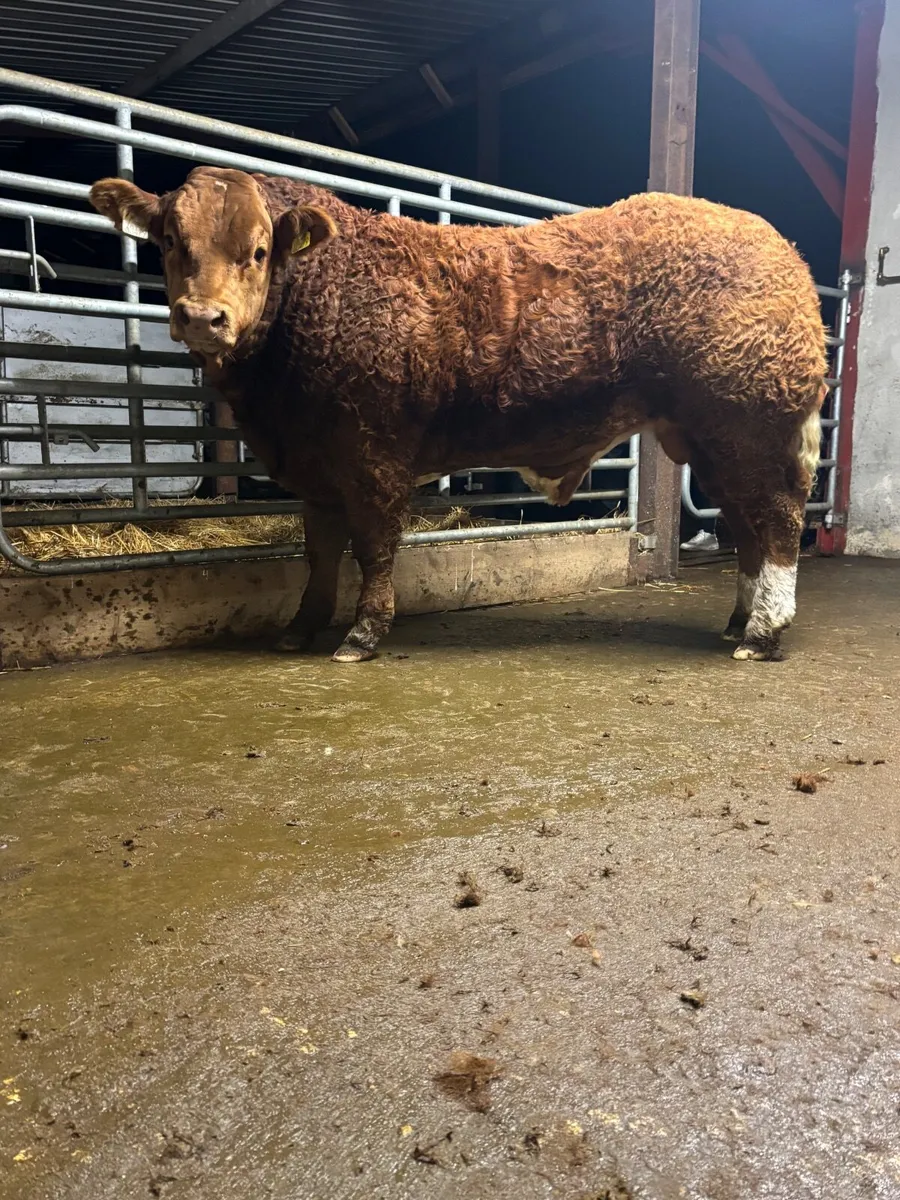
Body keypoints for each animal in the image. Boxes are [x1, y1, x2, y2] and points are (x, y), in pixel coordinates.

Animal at [89, 167, 827, 664]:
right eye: (168, 240)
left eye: (259, 250)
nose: (202, 317)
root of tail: (776, 244)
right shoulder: (317, 465)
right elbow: (320, 552)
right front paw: (301, 629)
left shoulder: (373, 453)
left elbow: (374, 547)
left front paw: (362, 635)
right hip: (710, 439)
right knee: (746, 527)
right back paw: (739, 622)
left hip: (750, 425)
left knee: (778, 521)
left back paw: (764, 633)